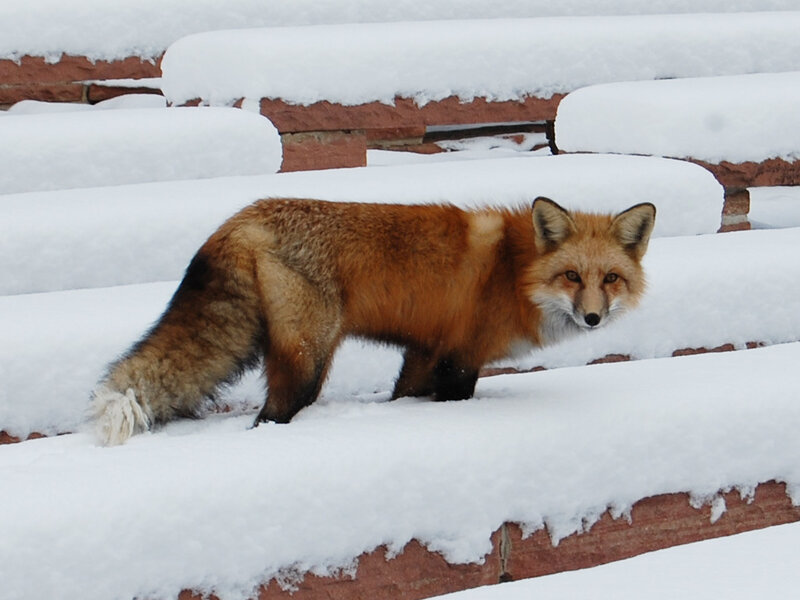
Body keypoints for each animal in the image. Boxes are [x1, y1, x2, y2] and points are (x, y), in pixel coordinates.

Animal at [90, 197, 655, 445]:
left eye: (610, 279)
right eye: (570, 276)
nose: (592, 318)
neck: (513, 271)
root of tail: (241, 217)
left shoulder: (425, 350)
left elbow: (402, 395)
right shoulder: (460, 359)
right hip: (308, 364)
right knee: (269, 418)